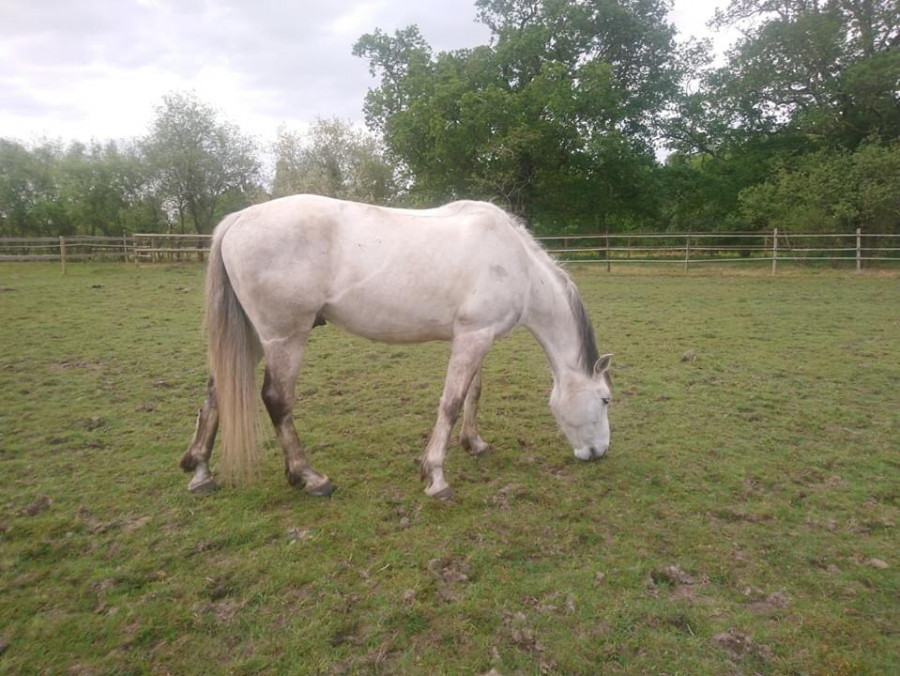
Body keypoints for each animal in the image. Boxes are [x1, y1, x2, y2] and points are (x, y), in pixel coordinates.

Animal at [179, 194, 612, 499]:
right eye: (606, 399)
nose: (600, 453)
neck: (516, 262)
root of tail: (238, 219)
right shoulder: (472, 338)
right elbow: (451, 403)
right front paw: (435, 476)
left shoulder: (478, 336)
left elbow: (474, 393)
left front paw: (475, 443)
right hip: (284, 338)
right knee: (277, 400)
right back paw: (310, 477)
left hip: (254, 336)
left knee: (216, 392)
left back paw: (200, 471)